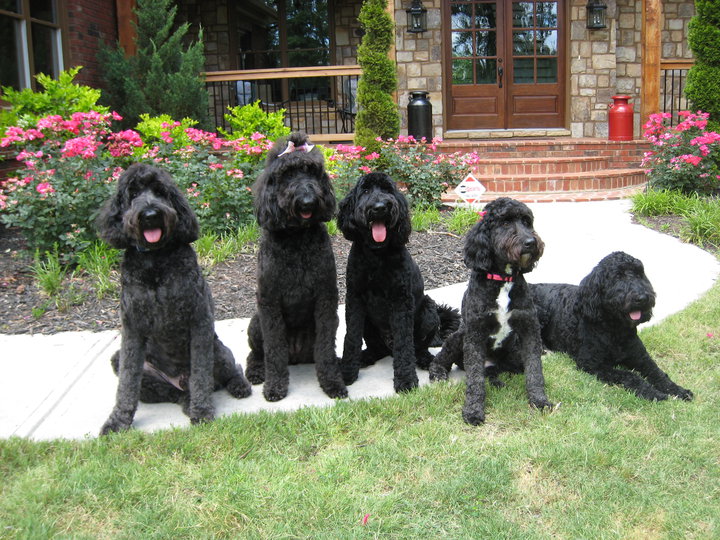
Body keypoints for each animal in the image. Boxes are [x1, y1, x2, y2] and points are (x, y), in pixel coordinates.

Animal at [97, 163, 250, 434]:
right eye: (132, 194)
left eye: (161, 192)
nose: (150, 214)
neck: (155, 260)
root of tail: (179, 380)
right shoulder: (132, 328)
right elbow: (126, 383)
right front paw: (118, 420)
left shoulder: (198, 320)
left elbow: (201, 374)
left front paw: (202, 412)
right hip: (127, 364)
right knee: (171, 393)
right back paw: (186, 400)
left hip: (218, 351)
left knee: (225, 373)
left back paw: (235, 386)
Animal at [245, 132, 348, 400]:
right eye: (287, 174)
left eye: (311, 171)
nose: (307, 201)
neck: (296, 239)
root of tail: (296, 356)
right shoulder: (269, 303)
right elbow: (273, 350)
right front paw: (275, 386)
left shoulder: (326, 299)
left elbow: (325, 348)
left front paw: (332, 382)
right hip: (255, 323)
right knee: (256, 354)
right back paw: (257, 371)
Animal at [338, 173, 462, 392]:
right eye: (366, 190)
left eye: (388, 190)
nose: (380, 207)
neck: (376, 254)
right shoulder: (354, 299)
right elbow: (351, 337)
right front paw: (346, 373)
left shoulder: (400, 301)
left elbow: (404, 342)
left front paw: (406, 380)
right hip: (369, 323)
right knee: (376, 349)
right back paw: (365, 356)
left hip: (429, 311)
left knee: (417, 346)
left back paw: (425, 359)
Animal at [430, 196, 556, 424]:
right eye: (504, 222)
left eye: (527, 222)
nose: (530, 242)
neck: (502, 279)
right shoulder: (474, 334)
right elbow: (475, 379)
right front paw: (473, 411)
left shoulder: (529, 330)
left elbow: (535, 369)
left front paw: (540, 401)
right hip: (458, 336)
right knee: (446, 359)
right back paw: (438, 373)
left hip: (514, 351)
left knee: (496, 371)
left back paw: (498, 381)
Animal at [532, 250, 696, 400]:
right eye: (618, 276)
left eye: (639, 274)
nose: (642, 297)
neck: (615, 329)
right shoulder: (592, 364)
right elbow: (630, 375)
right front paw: (653, 393)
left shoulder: (641, 358)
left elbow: (658, 373)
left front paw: (678, 390)